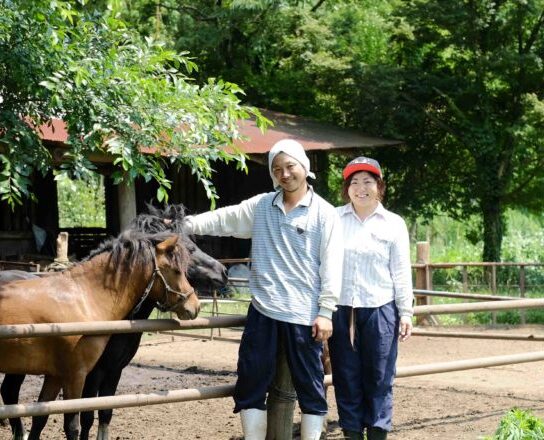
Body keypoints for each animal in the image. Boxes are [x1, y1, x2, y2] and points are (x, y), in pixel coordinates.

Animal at [0, 205, 225, 438]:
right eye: (186, 254)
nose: (223, 273)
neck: (85, 297)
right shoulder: (80, 374)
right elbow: (81, 421)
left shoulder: (101, 371)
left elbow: (81, 414)